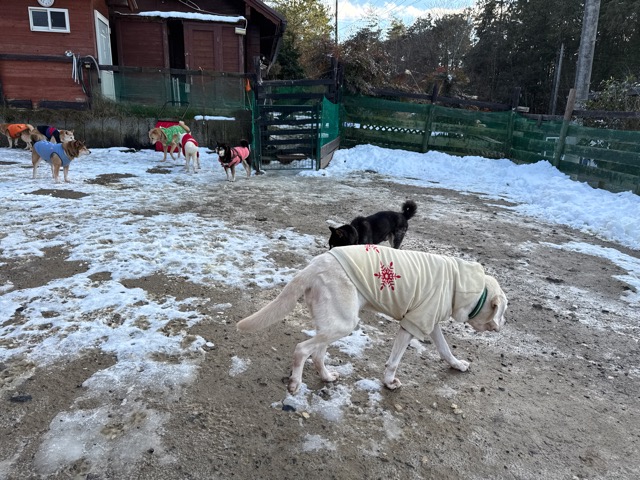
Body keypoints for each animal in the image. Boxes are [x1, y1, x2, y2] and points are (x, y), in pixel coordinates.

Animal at [237, 245, 508, 394]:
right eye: (503, 311)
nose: (501, 325)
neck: (464, 287)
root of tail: (313, 266)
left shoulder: (430, 324)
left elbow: (445, 350)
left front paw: (458, 365)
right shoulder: (411, 325)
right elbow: (394, 361)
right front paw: (389, 382)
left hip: (333, 323)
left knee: (317, 354)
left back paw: (326, 377)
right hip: (343, 324)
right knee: (302, 349)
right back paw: (295, 382)